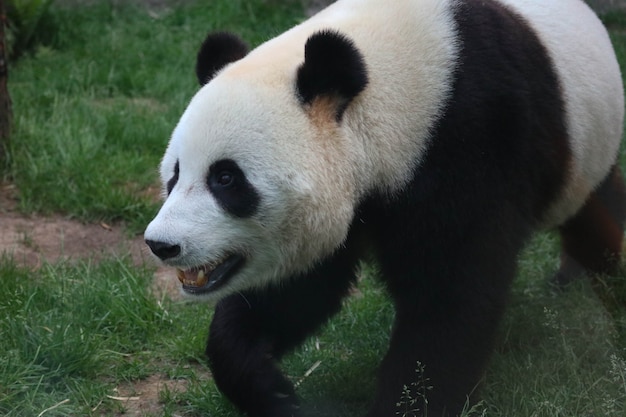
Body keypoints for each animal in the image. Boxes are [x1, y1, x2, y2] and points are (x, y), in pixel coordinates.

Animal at [143, 0, 624, 414]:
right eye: (175, 174)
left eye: (225, 178)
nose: (161, 244)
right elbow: (297, 289)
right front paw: (272, 389)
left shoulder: (473, 141)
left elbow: (450, 299)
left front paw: (411, 401)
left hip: (587, 145)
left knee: (596, 211)